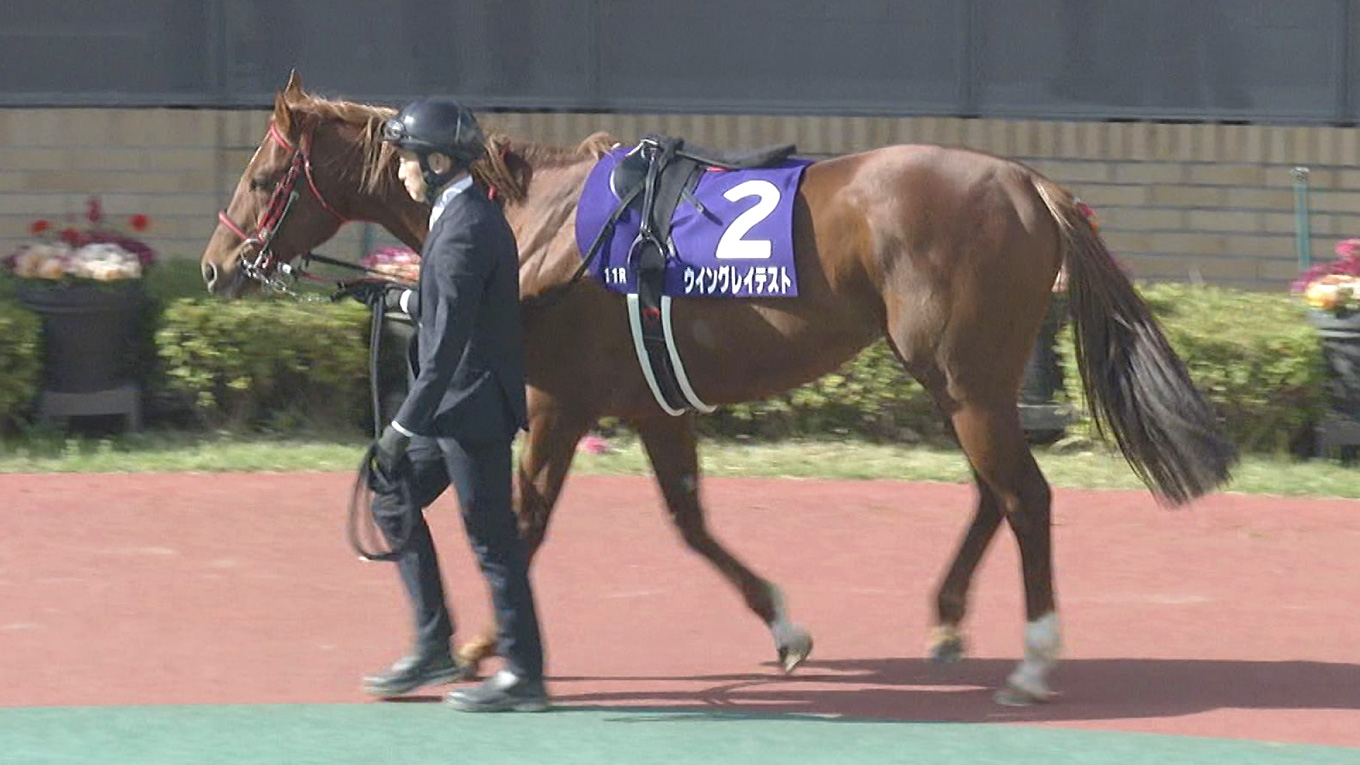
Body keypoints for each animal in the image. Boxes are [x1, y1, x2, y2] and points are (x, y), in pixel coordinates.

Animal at [200, 73, 1236, 705]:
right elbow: (691, 521)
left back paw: (1033, 658)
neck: (539, 223)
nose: (215, 265)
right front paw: (785, 626)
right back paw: (947, 621)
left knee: (1025, 495)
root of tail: (1027, 179)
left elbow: (524, 524)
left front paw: (484, 649)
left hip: (964, 378)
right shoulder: (649, 407)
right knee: (997, 493)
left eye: (265, 172)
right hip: (961, 382)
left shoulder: (557, 405)